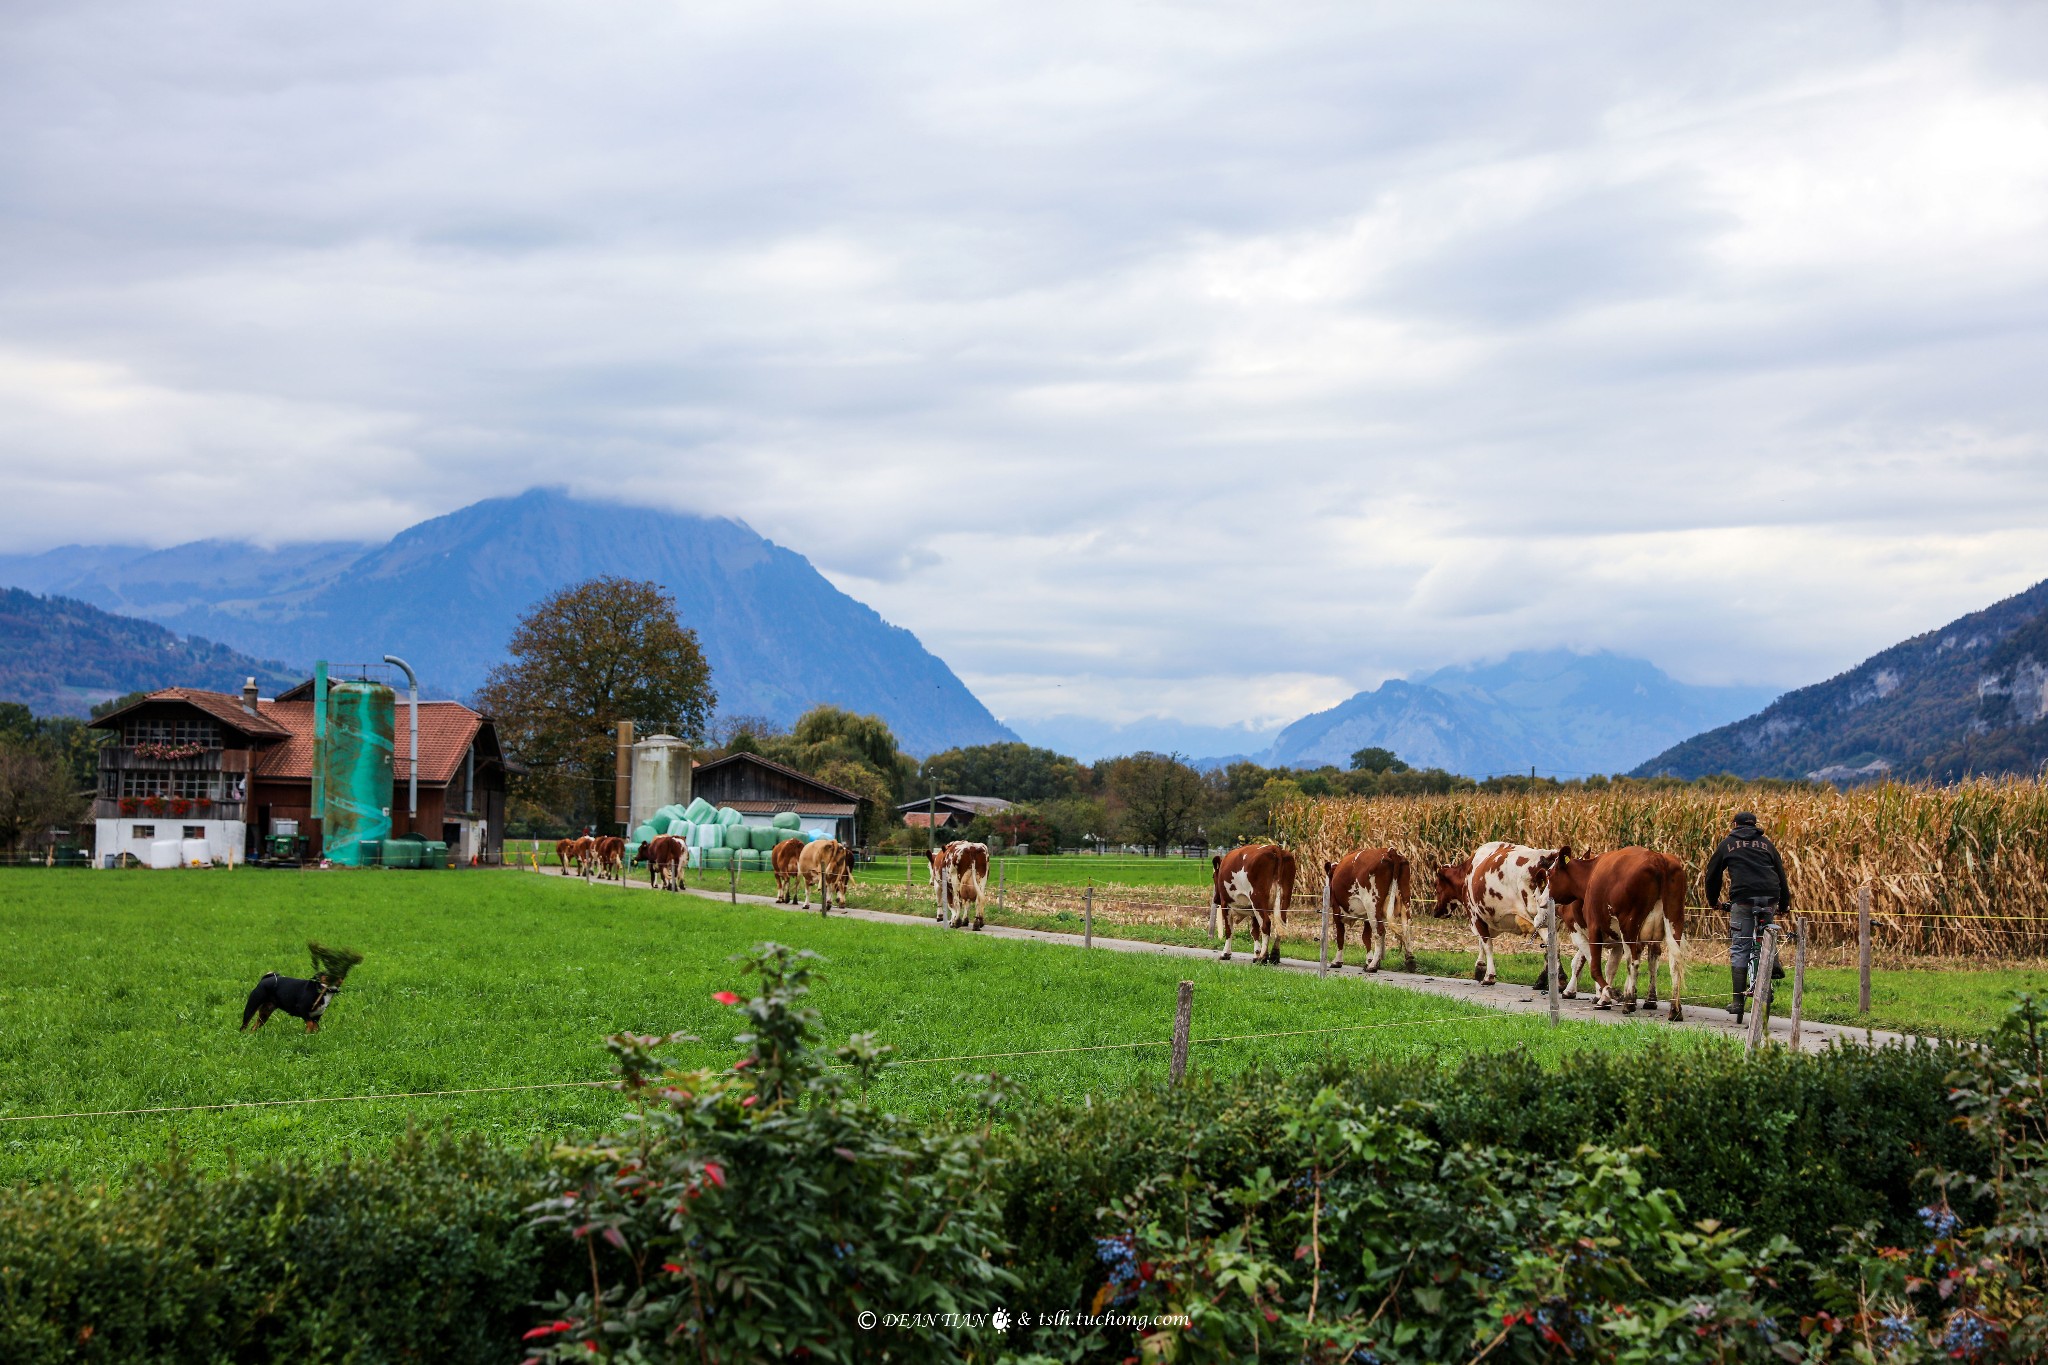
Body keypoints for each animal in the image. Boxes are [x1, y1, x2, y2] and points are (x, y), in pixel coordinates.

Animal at [1318, 847, 1417, 978]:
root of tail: (1390, 851)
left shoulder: (1337, 911)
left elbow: (1340, 936)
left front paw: (1337, 961)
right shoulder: (1366, 916)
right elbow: (1366, 937)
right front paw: (1369, 960)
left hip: (1371, 903)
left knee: (1379, 931)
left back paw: (1372, 966)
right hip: (1405, 899)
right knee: (1407, 927)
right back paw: (1409, 959)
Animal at [1540, 847, 1687, 1019]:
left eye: (1549, 874)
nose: (1541, 900)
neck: (1590, 874)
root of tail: (1658, 858)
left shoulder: (1593, 928)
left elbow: (1594, 966)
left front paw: (1609, 993)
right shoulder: (1615, 938)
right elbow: (1610, 966)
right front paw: (1605, 998)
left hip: (1629, 925)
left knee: (1633, 962)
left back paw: (1629, 1003)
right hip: (1674, 922)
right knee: (1674, 964)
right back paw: (1674, 1010)